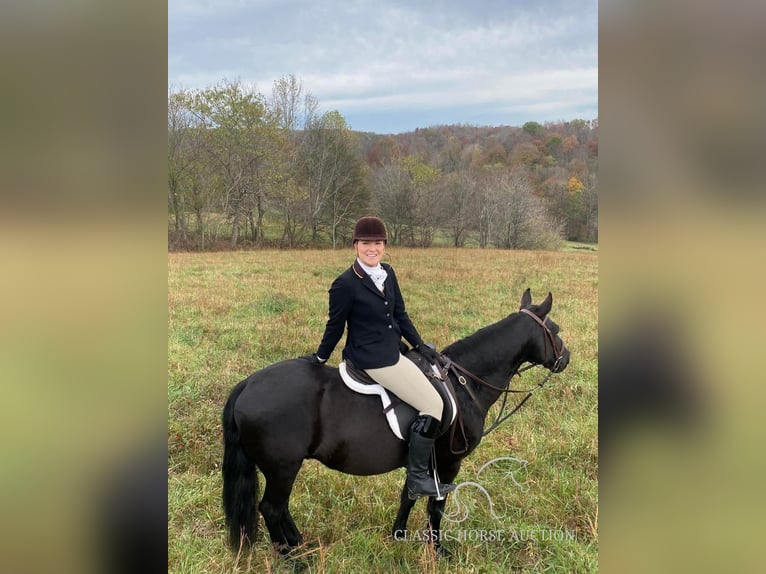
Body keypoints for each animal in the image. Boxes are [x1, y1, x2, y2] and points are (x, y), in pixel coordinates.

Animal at [222, 290, 568, 556]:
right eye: (556, 329)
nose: (566, 359)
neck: (464, 382)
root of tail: (248, 384)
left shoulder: (422, 462)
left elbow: (409, 494)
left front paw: (398, 535)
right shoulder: (449, 462)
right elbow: (436, 505)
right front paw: (438, 550)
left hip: (281, 468)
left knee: (280, 508)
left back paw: (299, 544)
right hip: (282, 467)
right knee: (272, 508)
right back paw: (292, 558)